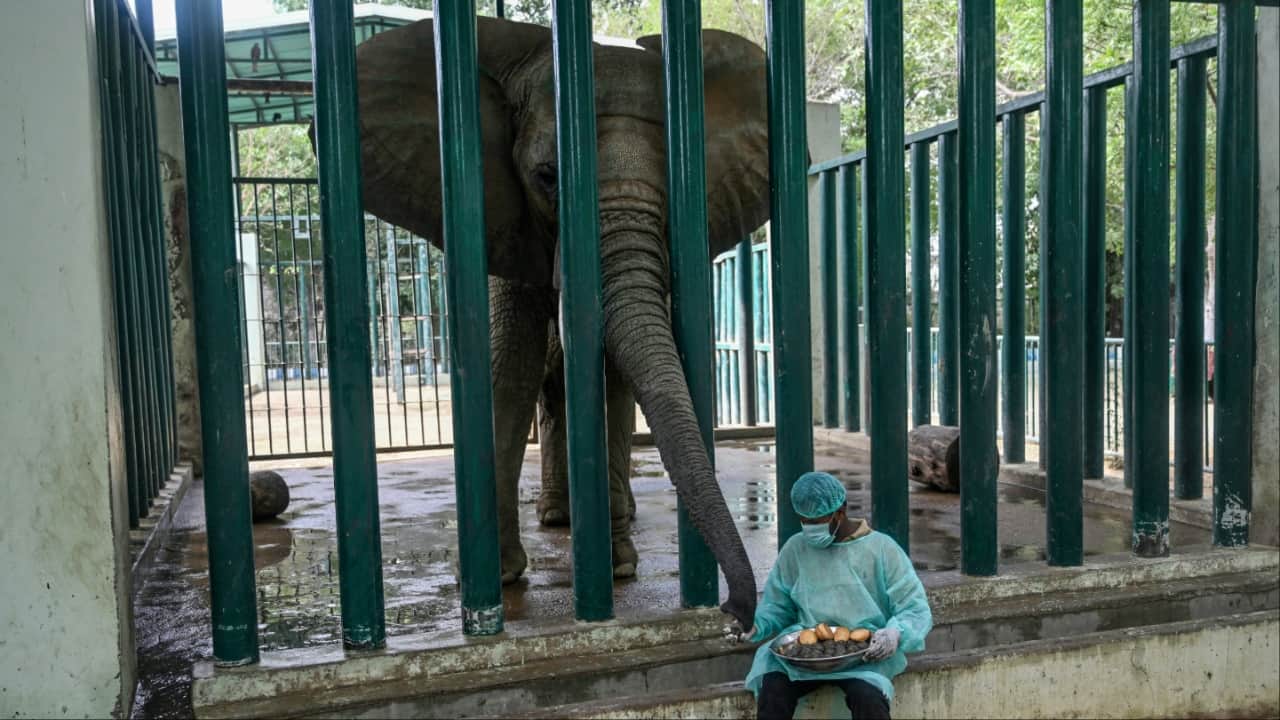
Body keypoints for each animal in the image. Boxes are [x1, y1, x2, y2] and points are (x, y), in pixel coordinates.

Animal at [346, 16, 771, 629]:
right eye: (548, 178)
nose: (735, 612)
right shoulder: (502, 223)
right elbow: (509, 369)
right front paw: (496, 579)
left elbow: (611, 380)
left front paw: (619, 568)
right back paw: (553, 518)